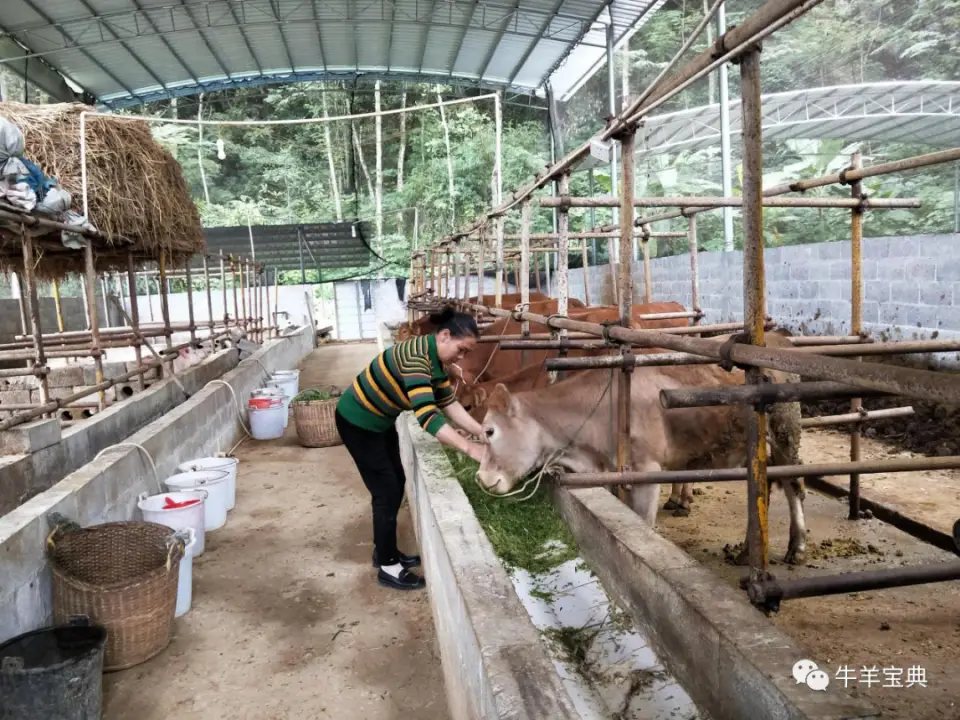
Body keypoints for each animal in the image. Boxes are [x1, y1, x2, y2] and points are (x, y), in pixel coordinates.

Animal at [472, 330, 808, 564]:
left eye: (490, 431)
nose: (480, 478)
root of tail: (778, 340)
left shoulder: (647, 470)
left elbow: (643, 522)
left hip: (785, 437)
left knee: (793, 485)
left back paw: (796, 545)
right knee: (762, 492)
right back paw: (748, 552)